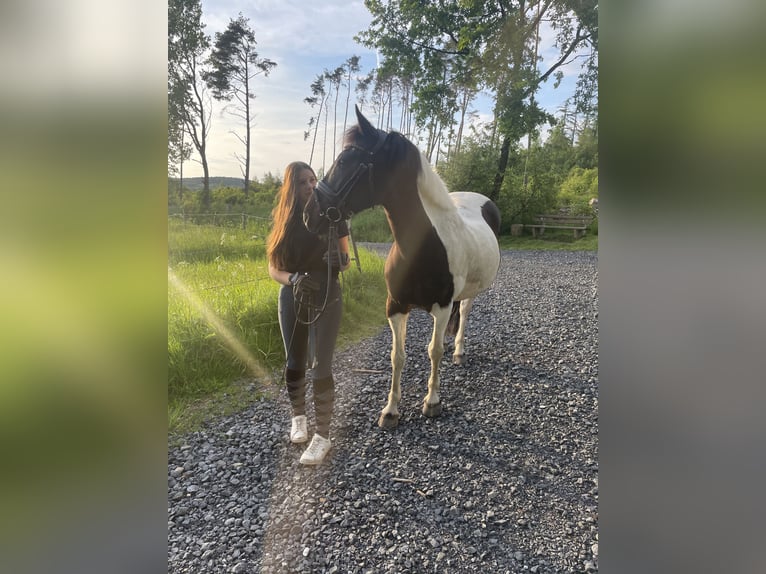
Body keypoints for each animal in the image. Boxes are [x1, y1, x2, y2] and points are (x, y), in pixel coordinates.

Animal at [306, 107, 504, 432]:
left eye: (347, 160)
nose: (310, 215)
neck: (423, 246)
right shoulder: (396, 306)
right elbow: (397, 356)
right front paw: (390, 411)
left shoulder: (441, 306)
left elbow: (433, 351)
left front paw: (432, 402)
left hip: (469, 294)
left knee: (463, 313)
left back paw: (459, 351)